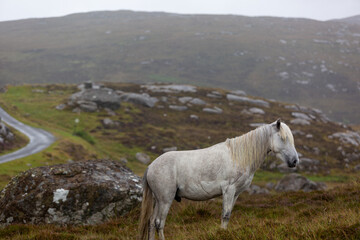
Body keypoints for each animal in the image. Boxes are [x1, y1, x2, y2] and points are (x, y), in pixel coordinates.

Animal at [139, 119, 300, 239]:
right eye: (282, 138)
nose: (294, 161)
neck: (239, 156)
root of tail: (151, 166)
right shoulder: (228, 190)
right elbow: (225, 215)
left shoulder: (236, 194)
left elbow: (228, 215)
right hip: (165, 199)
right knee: (159, 223)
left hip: (158, 200)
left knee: (151, 222)